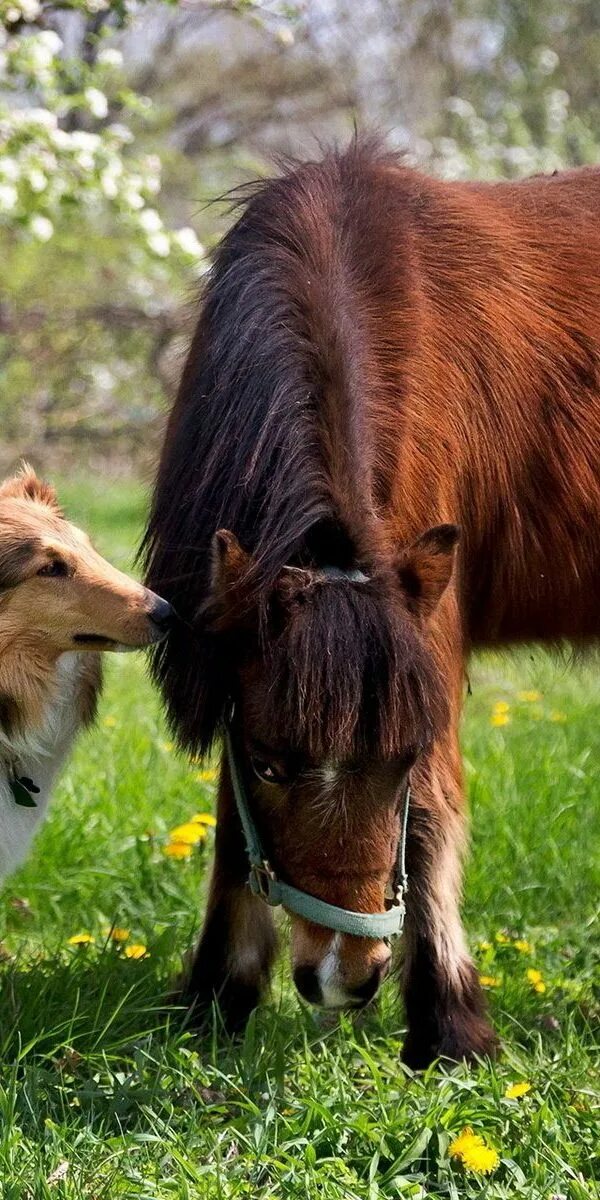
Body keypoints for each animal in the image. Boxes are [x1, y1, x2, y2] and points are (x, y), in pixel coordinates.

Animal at [144, 140, 600, 1070]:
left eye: (400, 757)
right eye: (272, 763)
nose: (345, 977)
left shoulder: (431, 627)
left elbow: (429, 813)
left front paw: (450, 1027)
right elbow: (234, 827)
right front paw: (214, 998)